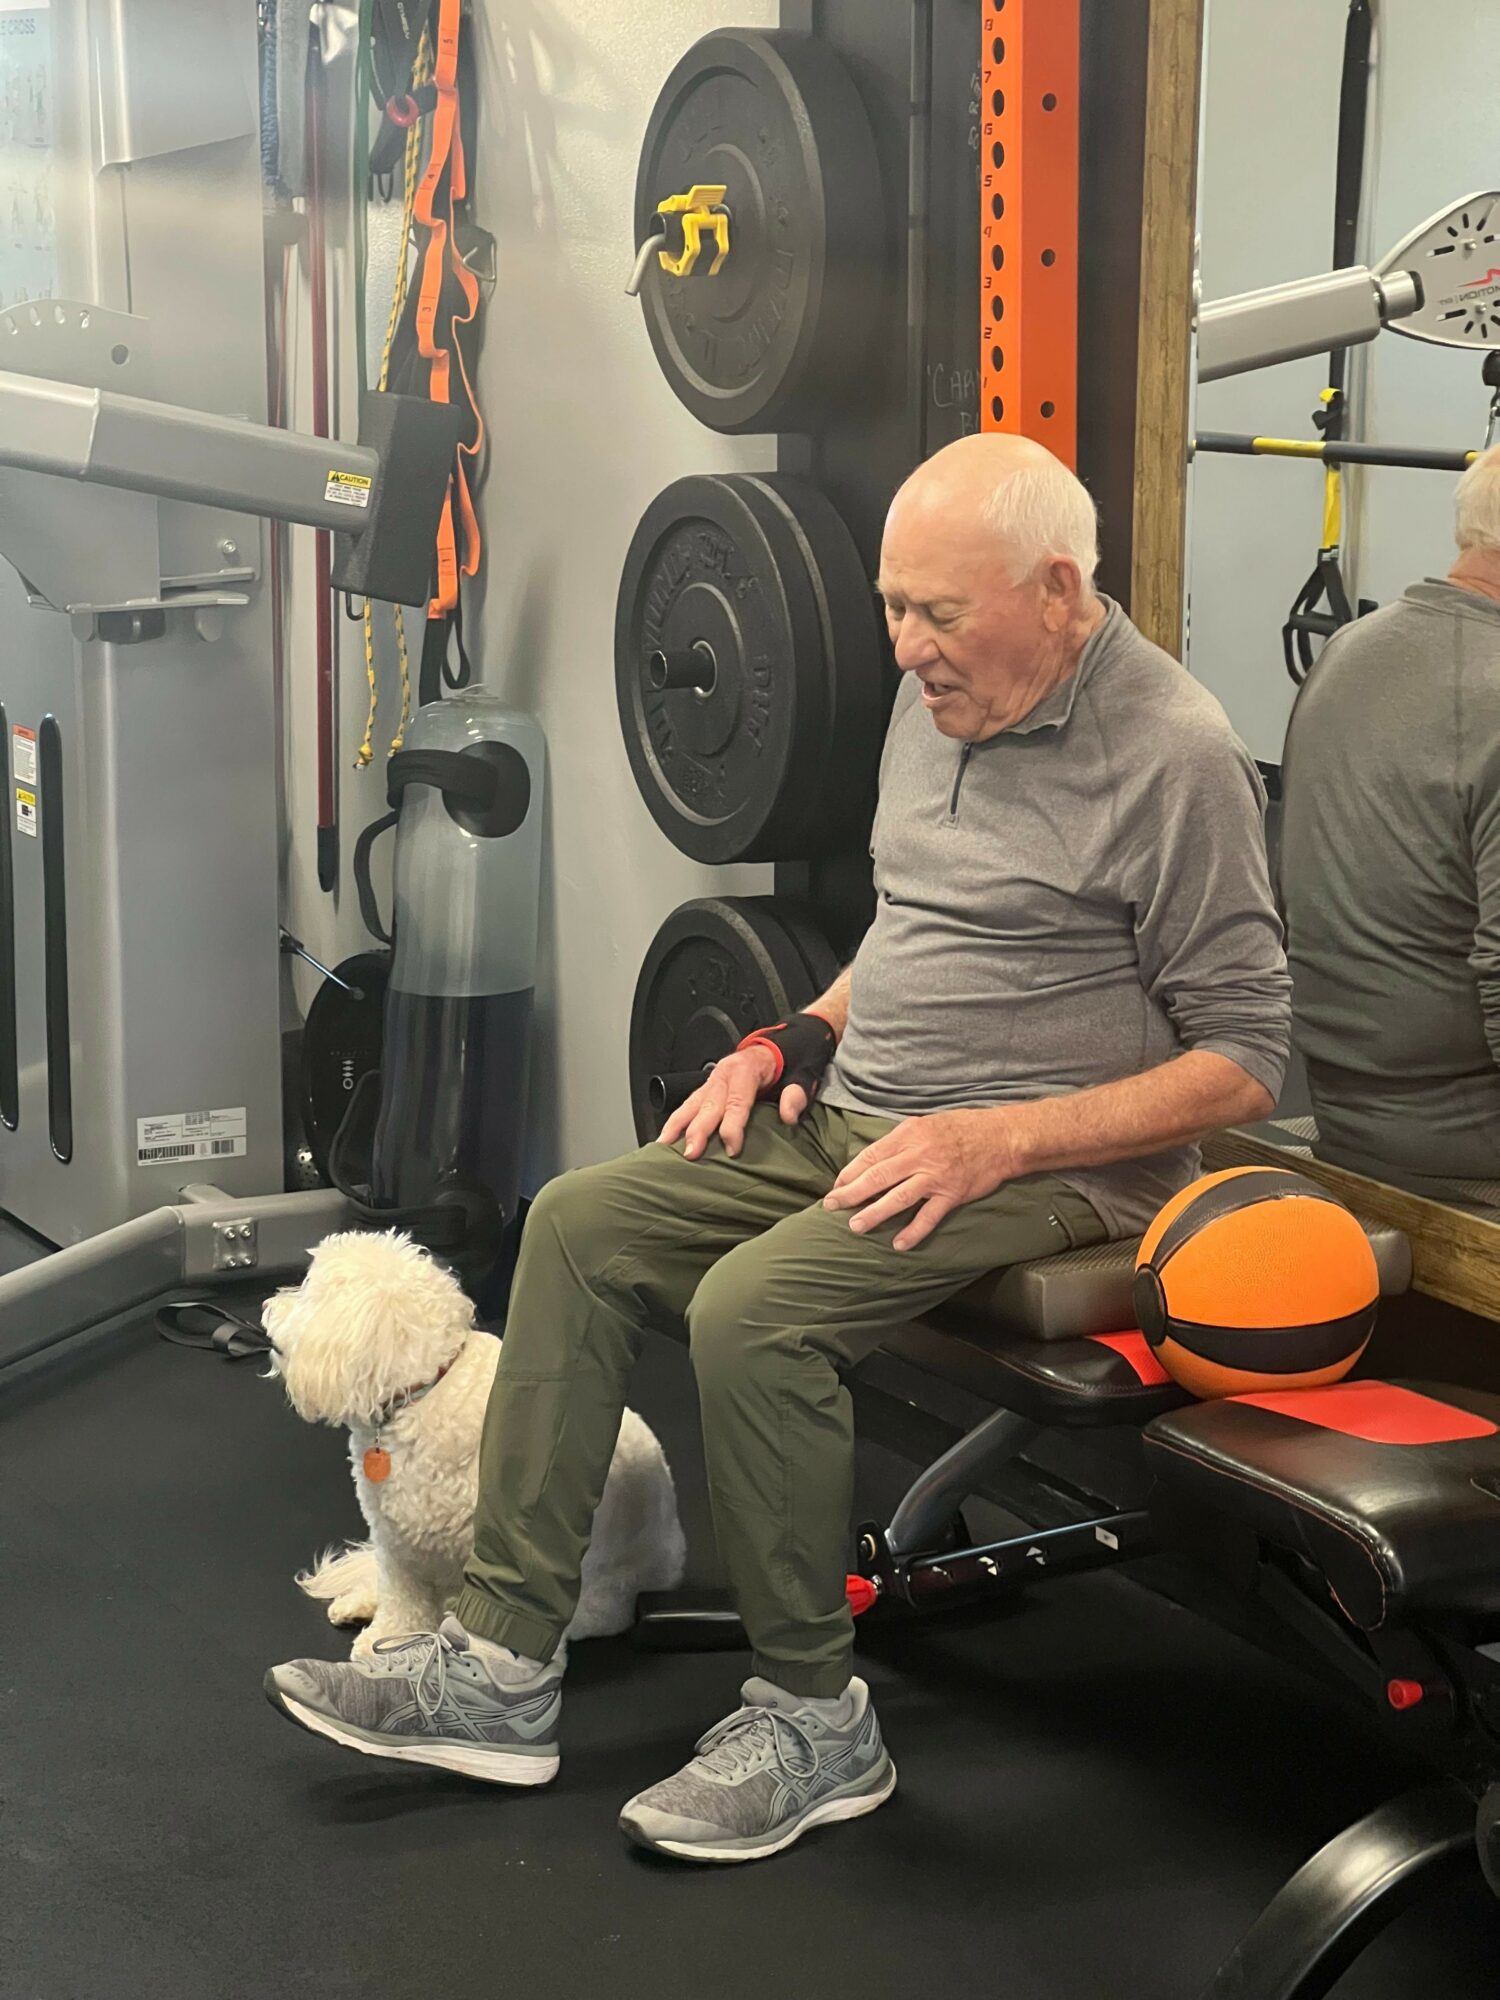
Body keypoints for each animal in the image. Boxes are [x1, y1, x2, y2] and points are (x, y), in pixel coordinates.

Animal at [264, 1229, 687, 1657]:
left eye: (308, 1290)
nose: (267, 1307)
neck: (427, 1389)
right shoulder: (394, 1543)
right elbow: (401, 1598)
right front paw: (384, 1637)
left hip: (607, 1596)